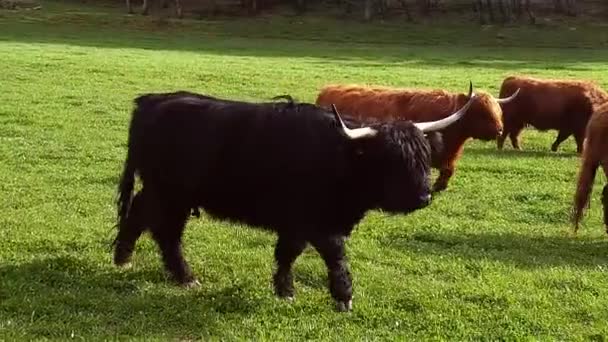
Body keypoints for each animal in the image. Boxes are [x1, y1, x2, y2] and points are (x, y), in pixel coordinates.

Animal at [314, 83, 516, 192]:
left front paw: (439, 186)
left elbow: (448, 172)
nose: (499, 130)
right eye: (481, 112)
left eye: (498, 111)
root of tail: (328, 89)